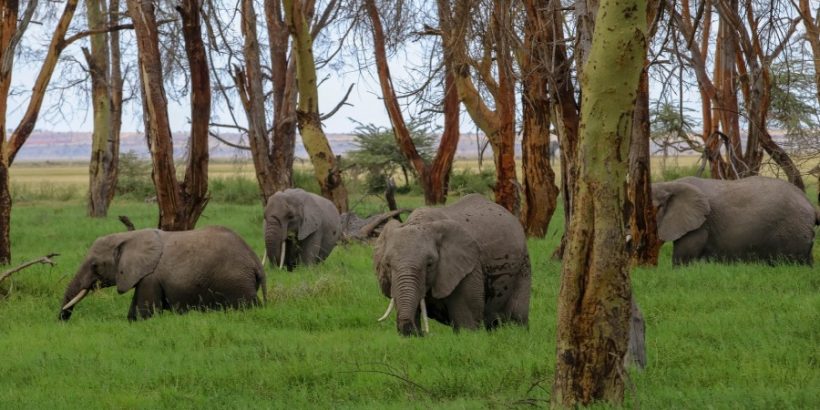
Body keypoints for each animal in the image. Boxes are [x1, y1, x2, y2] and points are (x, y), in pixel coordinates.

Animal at [60, 226, 266, 322]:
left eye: (95, 265)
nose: (62, 321)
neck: (128, 236)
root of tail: (256, 262)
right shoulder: (143, 277)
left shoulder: (150, 278)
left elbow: (145, 313)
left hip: (238, 282)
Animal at [374, 195, 532, 336]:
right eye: (387, 264)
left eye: (430, 264)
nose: (423, 333)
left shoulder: (469, 267)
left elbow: (467, 319)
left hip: (523, 264)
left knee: (517, 315)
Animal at [652, 176, 816, 266]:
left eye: (655, 209)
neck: (669, 183)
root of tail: (811, 205)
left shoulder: (700, 224)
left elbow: (683, 257)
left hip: (792, 231)